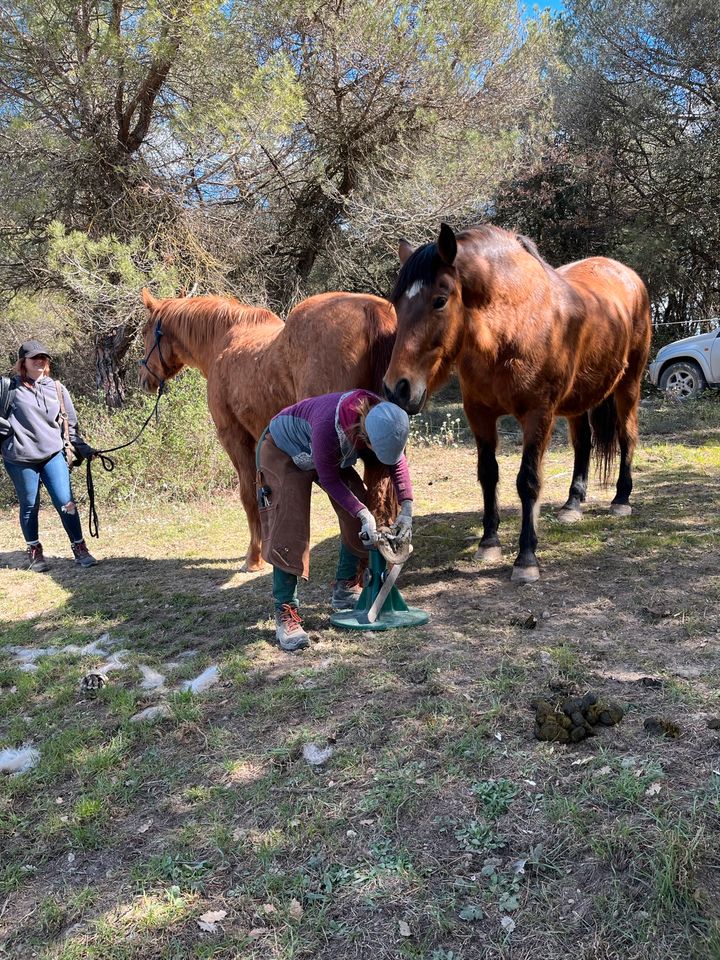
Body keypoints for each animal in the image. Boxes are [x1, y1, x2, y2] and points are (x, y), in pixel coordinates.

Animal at [138, 288, 396, 568]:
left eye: (144, 332)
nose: (144, 380)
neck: (222, 341)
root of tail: (372, 311)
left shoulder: (235, 437)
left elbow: (249, 493)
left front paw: (254, 556)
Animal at [382, 224, 652, 580]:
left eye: (440, 300)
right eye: (396, 304)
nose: (397, 389)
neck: (514, 323)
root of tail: (627, 275)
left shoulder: (537, 415)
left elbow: (528, 481)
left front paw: (526, 558)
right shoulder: (479, 414)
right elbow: (488, 474)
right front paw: (488, 542)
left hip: (628, 387)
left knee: (626, 437)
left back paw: (621, 499)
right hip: (578, 401)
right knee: (583, 445)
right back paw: (572, 505)